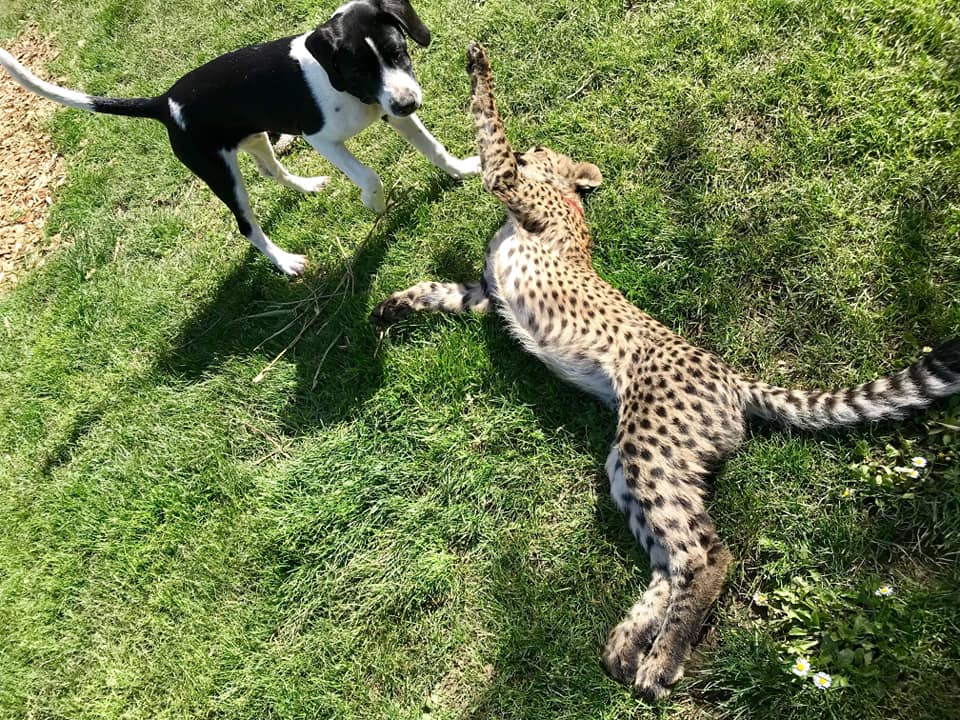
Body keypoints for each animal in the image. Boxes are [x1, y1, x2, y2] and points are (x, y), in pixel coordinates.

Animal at [0, 0, 480, 276]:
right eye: (360, 70)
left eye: (398, 51)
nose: (408, 102)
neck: (346, 87)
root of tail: (165, 102)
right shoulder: (322, 138)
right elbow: (369, 175)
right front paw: (375, 205)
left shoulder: (390, 113)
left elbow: (434, 148)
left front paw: (464, 169)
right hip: (220, 173)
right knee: (246, 224)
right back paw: (285, 262)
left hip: (252, 137)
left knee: (270, 169)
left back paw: (307, 185)